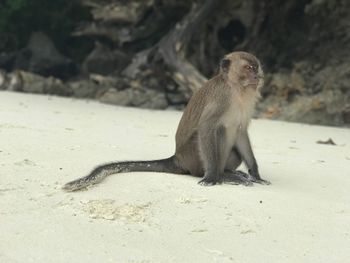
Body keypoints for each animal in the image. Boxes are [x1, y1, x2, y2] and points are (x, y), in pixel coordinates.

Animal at [63, 51, 270, 192]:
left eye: (256, 67)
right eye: (248, 68)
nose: (258, 77)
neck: (237, 90)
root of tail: (177, 157)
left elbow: (241, 131)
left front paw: (255, 173)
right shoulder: (221, 99)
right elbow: (206, 127)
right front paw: (212, 176)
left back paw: (230, 172)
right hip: (193, 157)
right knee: (214, 133)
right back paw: (223, 175)